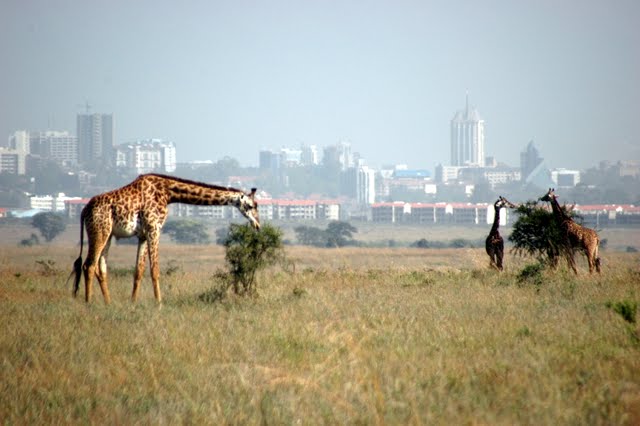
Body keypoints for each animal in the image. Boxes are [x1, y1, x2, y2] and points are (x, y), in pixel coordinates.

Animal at [70, 173, 260, 302]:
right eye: (251, 206)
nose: (258, 225)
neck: (168, 193)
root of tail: (84, 210)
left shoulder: (142, 235)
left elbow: (138, 271)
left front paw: (133, 302)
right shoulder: (154, 229)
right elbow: (155, 269)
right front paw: (159, 303)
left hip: (108, 235)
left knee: (101, 268)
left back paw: (108, 303)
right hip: (99, 231)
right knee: (89, 265)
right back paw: (89, 303)